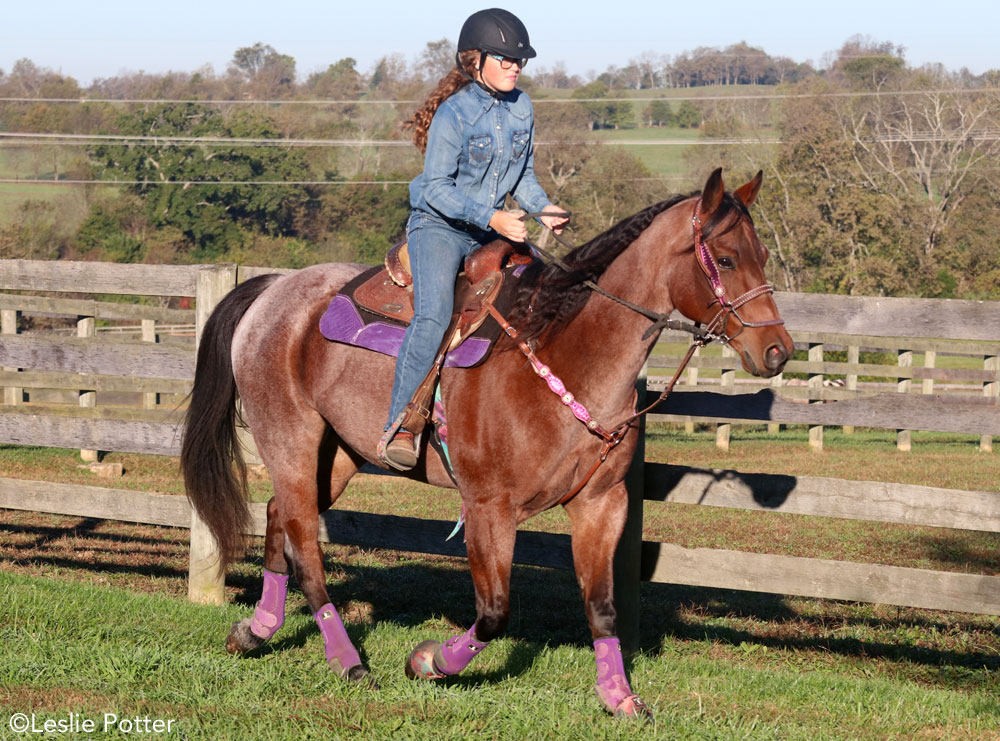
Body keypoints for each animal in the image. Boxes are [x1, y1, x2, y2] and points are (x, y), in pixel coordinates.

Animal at [178, 166, 788, 716]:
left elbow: (601, 607)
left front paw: (621, 699)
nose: (778, 350)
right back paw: (348, 661)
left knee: (279, 515)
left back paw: (255, 631)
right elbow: (494, 612)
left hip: (340, 454)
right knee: (305, 546)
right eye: (726, 259)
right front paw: (427, 661)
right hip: (291, 437)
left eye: (762, 254)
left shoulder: (601, 505)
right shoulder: (488, 507)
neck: (564, 353)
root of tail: (273, 290)